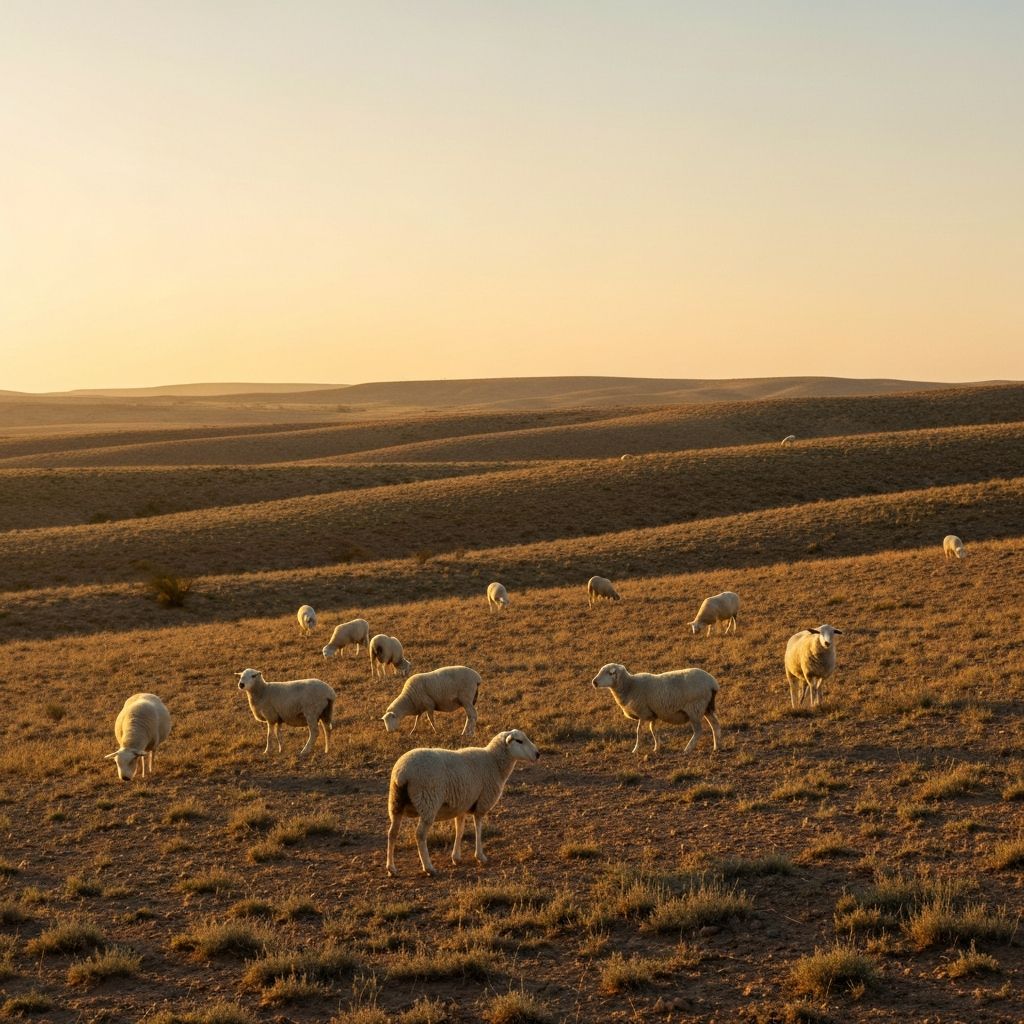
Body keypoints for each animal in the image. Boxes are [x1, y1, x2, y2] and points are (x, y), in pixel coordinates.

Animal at [386, 728, 539, 877]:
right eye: (519, 741)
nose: (538, 754)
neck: (494, 762)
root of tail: (402, 773)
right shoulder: (482, 803)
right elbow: (478, 828)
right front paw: (480, 856)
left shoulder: (462, 804)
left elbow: (460, 830)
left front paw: (456, 857)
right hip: (428, 801)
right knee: (420, 835)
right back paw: (429, 868)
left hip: (395, 803)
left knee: (392, 833)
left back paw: (391, 869)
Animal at [591, 663, 721, 755]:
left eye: (609, 673)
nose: (594, 682)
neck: (630, 685)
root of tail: (712, 683)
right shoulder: (652, 714)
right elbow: (653, 730)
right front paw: (656, 747)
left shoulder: (643, 712)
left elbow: (639, 731)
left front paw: (635, 749)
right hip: (706, 707)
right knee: (715, 725)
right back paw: (717, 747)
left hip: (694, 708)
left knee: (698, 730)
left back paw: (688, 749)